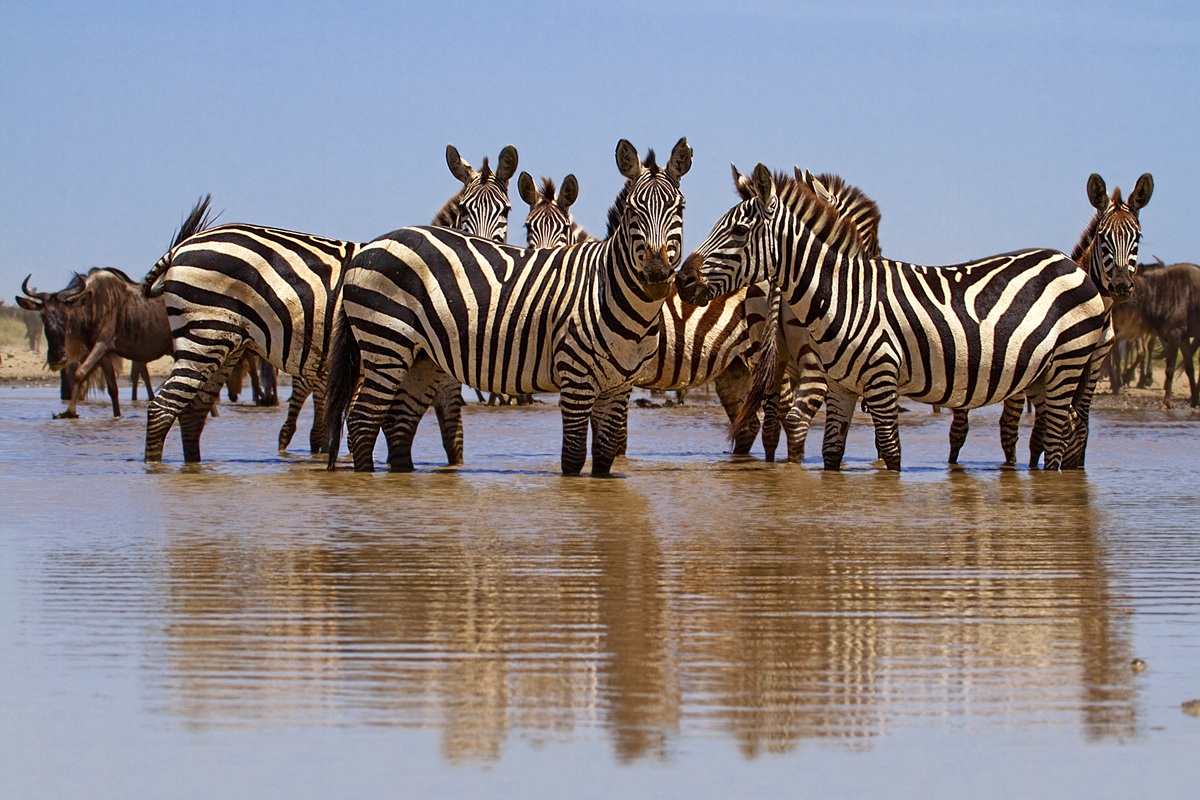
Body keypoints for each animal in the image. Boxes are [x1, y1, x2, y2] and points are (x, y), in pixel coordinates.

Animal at [142, 144, 518, 463]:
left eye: (505, 211)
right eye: (466, 209)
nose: (480, 255)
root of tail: (185, 244)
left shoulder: (442, 373)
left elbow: (453, 442)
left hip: (226, 345)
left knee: (191, 413)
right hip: (204, 335)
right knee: (162, 408)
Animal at [324, 137, 692, 476]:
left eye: (681, 209)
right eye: (632, 211)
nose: (656, 273)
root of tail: (370, 245)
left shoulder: (618, 387)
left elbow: (603, 459)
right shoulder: (575, 376)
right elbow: (574, 459)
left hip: (420, 358)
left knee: (398, 424)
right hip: (386, 342)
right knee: (362, 421)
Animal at [675, 164, 1111, 471]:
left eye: (739, 231)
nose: (681, 279)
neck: (845, 295)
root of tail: (1069, 263)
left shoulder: (882, 379)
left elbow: (890, 451)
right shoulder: (841, 385)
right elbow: (831, 451)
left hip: (1068, 363)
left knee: (1059, 432)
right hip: (1042, 374)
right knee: (1062, 430)